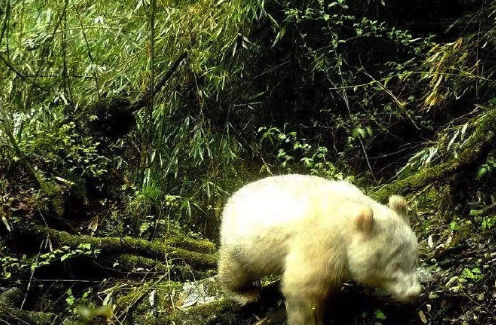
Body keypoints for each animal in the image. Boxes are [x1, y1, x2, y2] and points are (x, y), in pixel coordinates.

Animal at [217, 175, 418, 324]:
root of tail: (230, 200)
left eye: (414, 261)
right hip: (243, 242)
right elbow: (302, 287)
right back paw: (245, 293)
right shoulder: (321, 242)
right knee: (236, 270)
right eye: (395, 265)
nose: (414, 293)